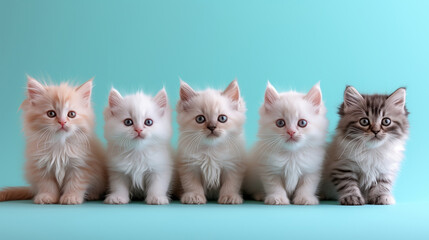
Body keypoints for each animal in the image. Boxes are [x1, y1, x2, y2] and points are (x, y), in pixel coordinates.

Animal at [0, 76, 106, 204]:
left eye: (71, 114)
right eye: (51, 113)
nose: (62, 122)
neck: (60, 145)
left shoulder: (81, 165)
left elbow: (75, 184)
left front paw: (71, 197)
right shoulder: (41, 166)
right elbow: (47, 185)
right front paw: (47, 197)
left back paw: (92, 195)